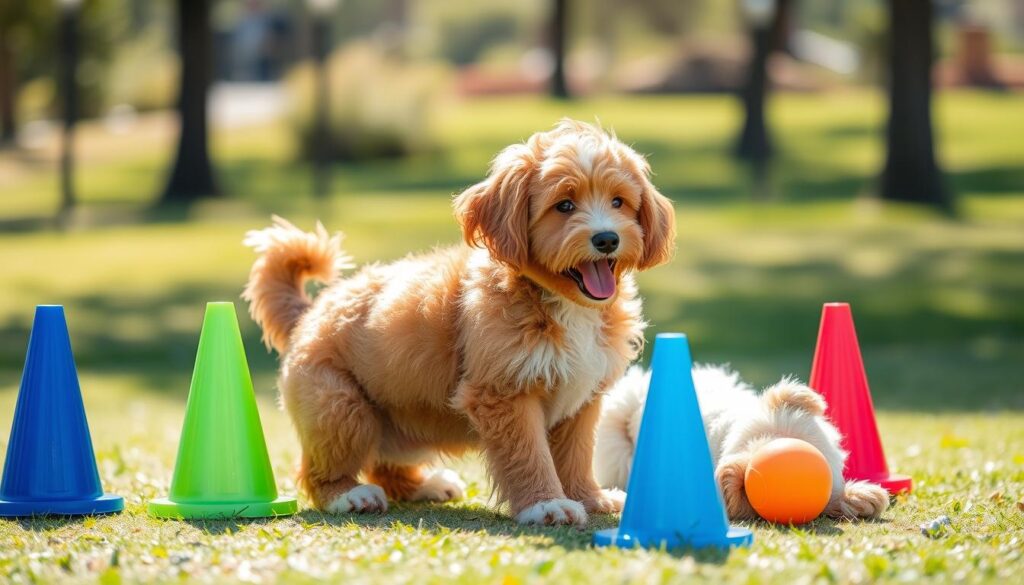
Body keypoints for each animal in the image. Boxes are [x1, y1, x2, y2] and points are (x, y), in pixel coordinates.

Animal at [242, 118, 675, 524]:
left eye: (618, 202)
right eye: (564, 205)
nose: (607, 239)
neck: (561, 304)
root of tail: (309, 311)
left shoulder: (581, 398)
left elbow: (576, 454)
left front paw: (589, 497)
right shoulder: (503, 393)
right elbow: (529, 453)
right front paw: (546, 504)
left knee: (386, 468)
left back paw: (427, 485)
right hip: (341, 408)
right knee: (317, 471)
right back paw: (349, 495)